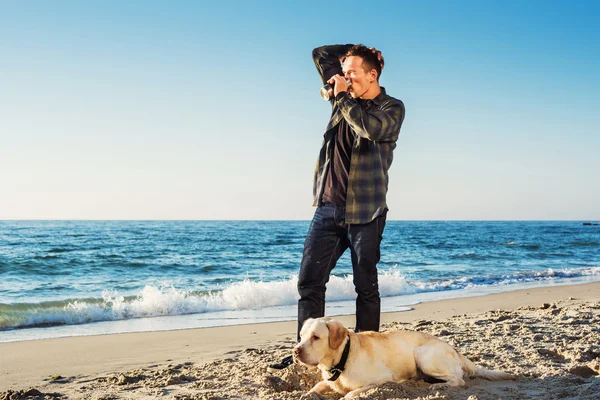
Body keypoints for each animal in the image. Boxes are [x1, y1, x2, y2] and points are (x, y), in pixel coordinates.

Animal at [292, 318, 516, 398]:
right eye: (301, 336)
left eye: (316, 337)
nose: (295, 351)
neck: (342, 359)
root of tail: (454, 348)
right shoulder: (328, 380)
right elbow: (316, 387)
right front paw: (306, 394)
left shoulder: (382, 379)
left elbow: (351, 393)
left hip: (423, 355)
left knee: (458, 379)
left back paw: (439, 386)